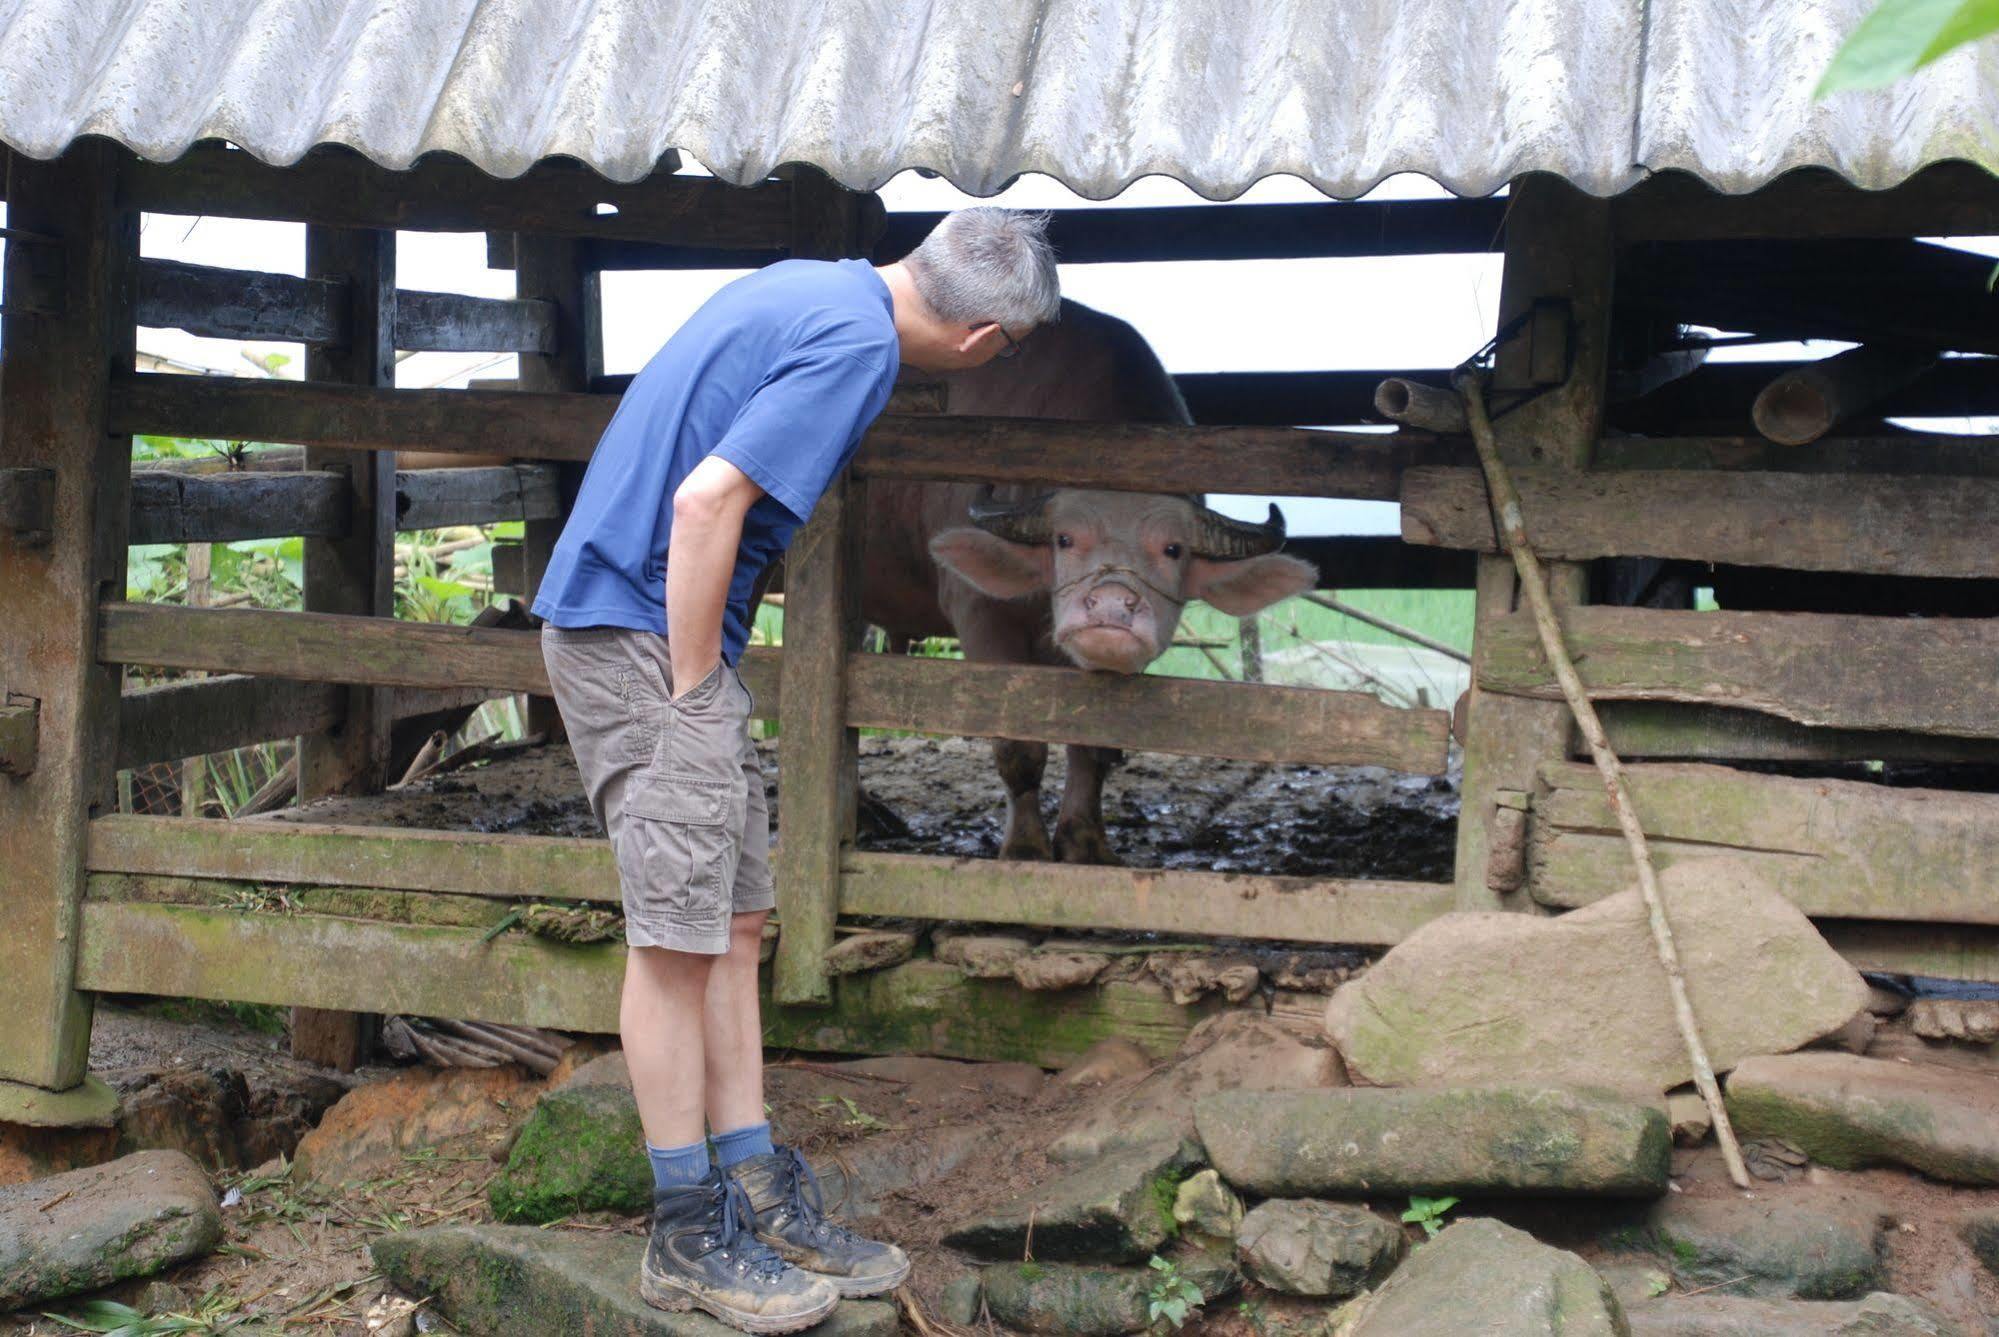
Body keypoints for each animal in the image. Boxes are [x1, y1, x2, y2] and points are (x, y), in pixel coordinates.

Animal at [855, 299, 1311, 867]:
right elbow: (1018, 746)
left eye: (1173, 549)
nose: (1112, 605)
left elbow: (1093, 740)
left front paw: (1085, 841)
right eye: (1065, 540)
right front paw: (1026, 847)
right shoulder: (980, 614)